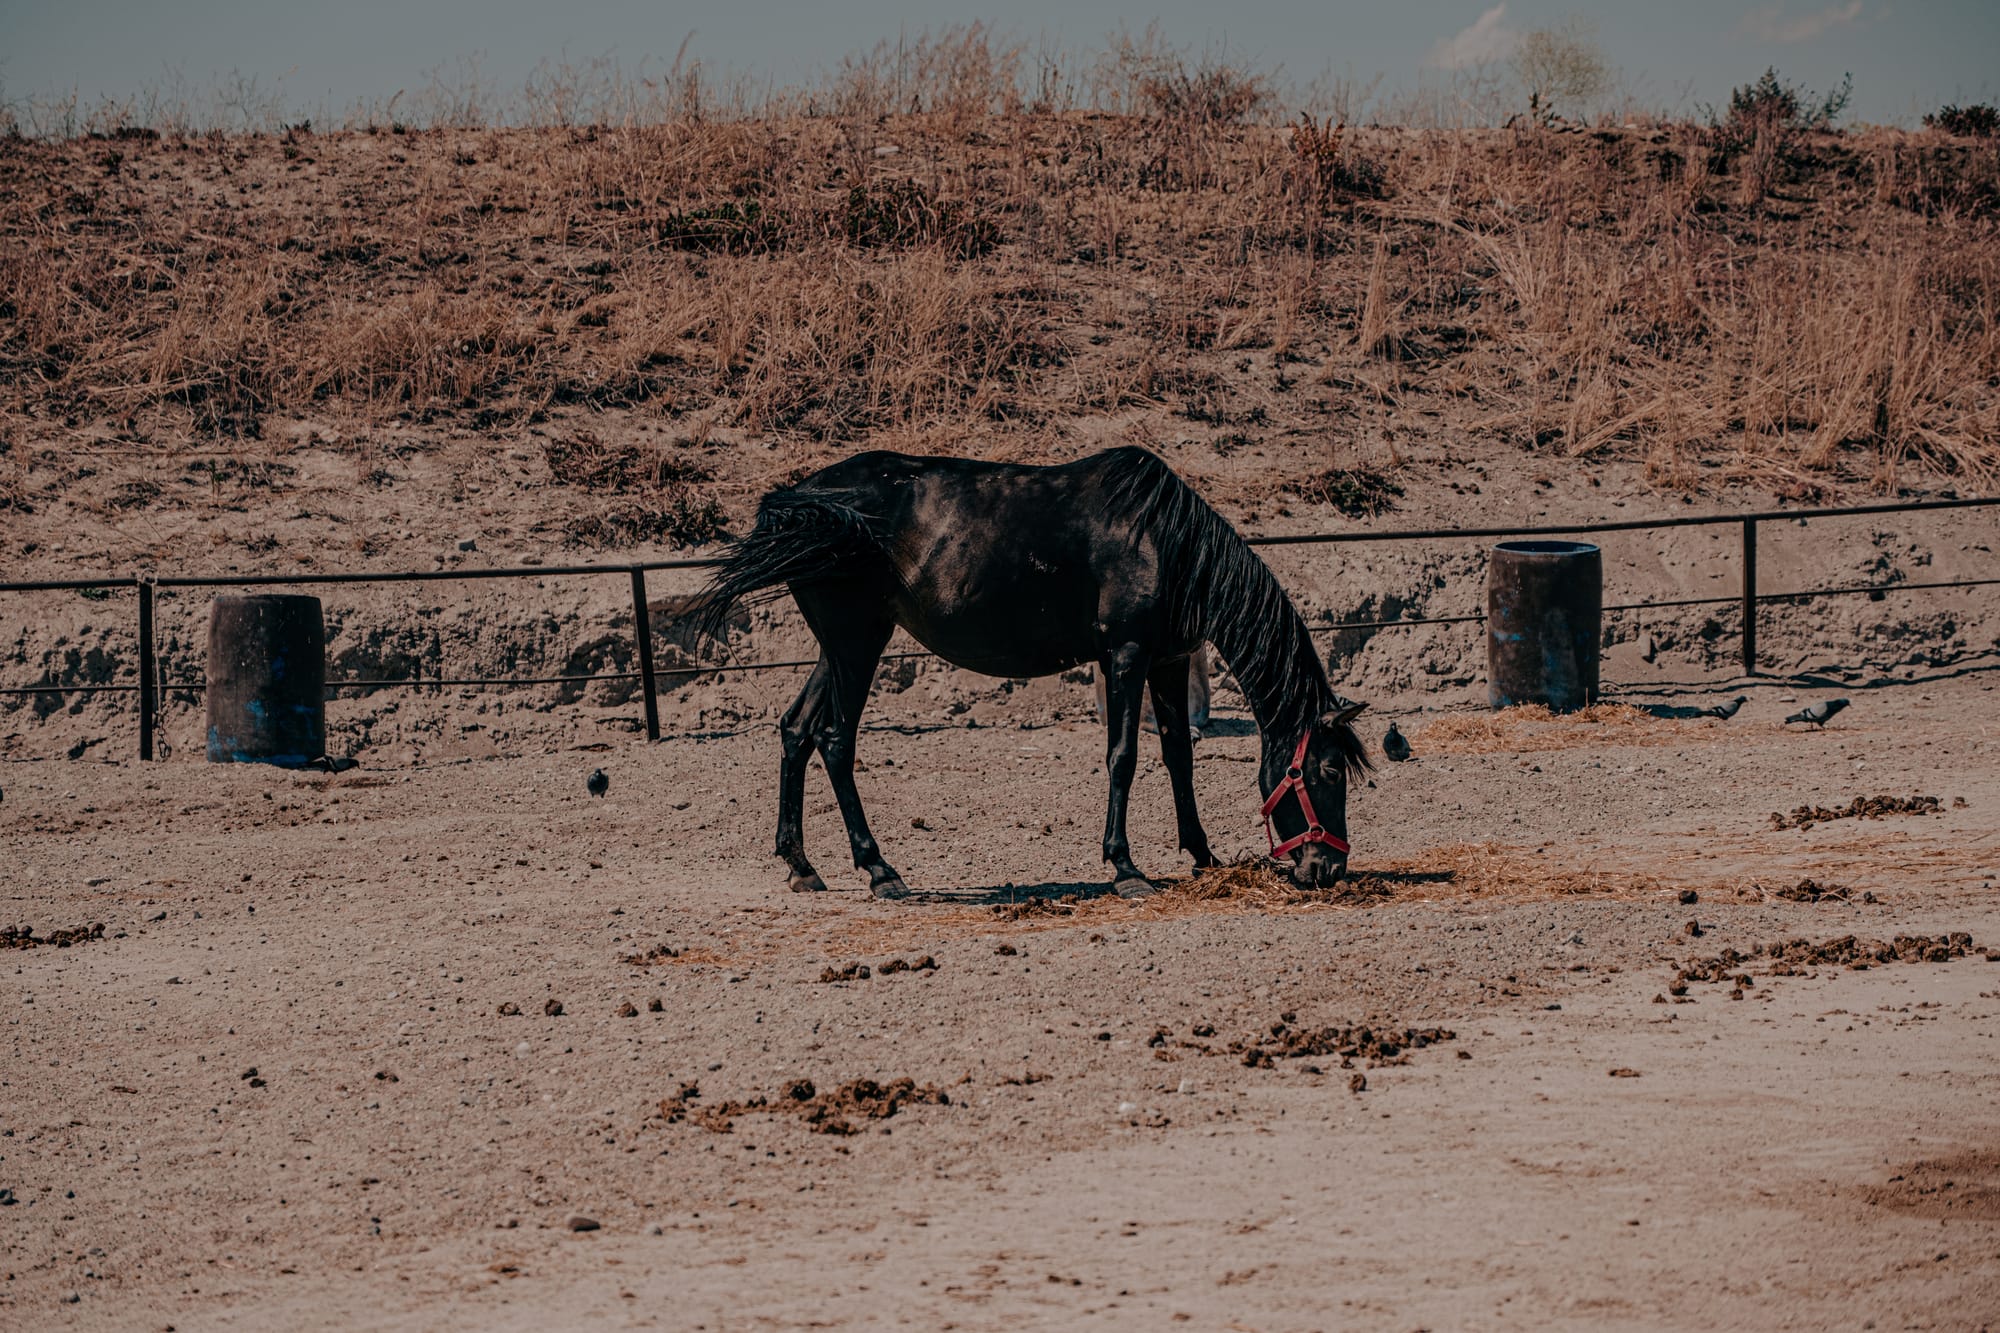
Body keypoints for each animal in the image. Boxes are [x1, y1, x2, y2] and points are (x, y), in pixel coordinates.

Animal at [694, 446, 1368, 900]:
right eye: (1331, 771)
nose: (1328, 869)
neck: (1166, 542)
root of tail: (801, 500)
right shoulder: (1126, 656)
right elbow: (1123, 755)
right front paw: (1125, 867)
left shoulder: (1169, 660)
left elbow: (1179, 753)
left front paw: (1202, 854)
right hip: (857, 646)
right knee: (835, 741)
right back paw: (880, 870)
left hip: (839, 649)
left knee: (796, 730)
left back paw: (802, 866)